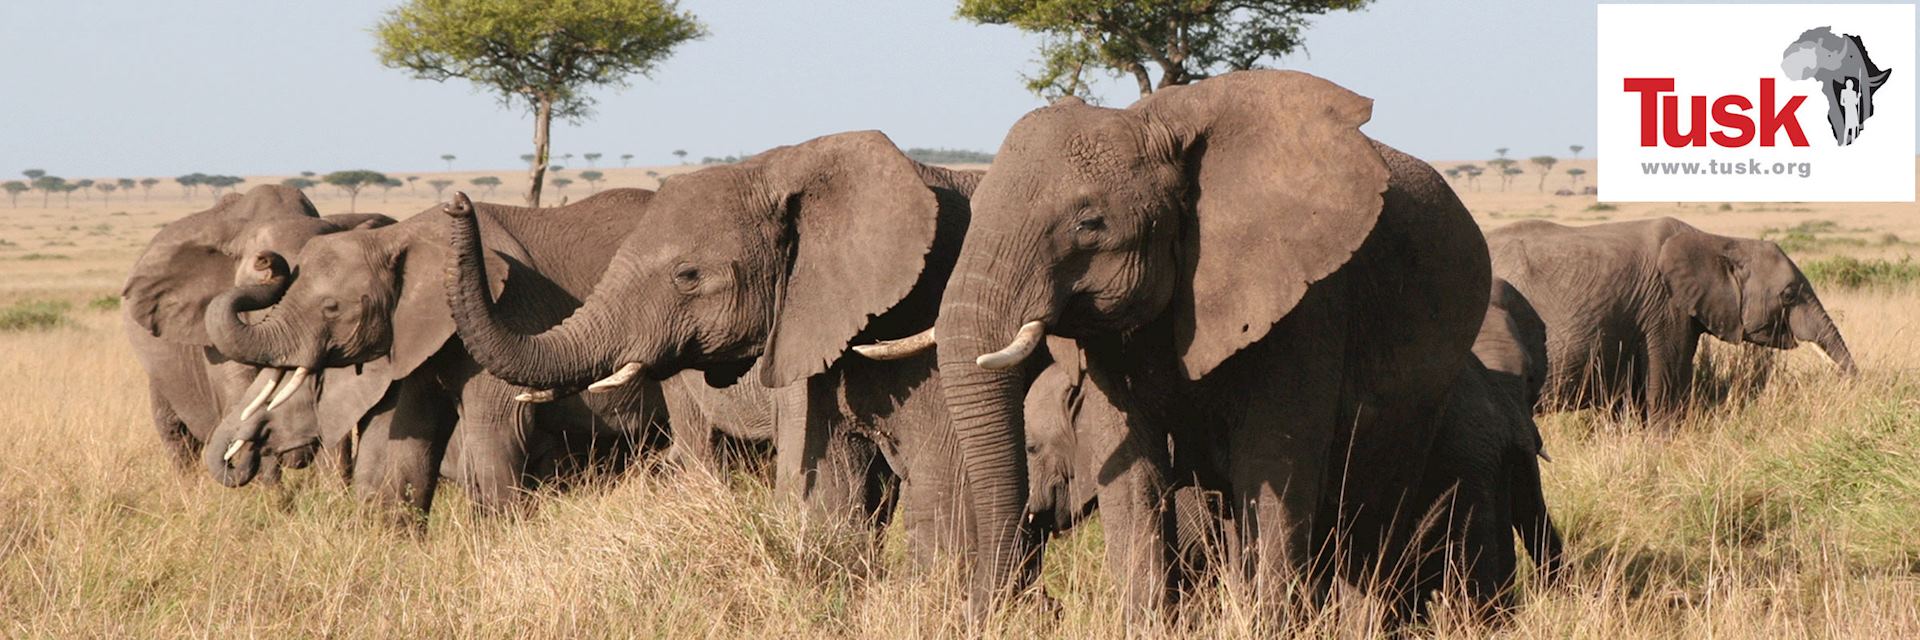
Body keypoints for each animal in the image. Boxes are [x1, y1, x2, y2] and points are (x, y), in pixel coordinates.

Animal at [120, 184, 393, 484]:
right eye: (257, 271)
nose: (266, 259)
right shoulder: (216, 348)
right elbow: (245, 401)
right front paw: (274, 495)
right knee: (175, 432)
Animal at [201, 187, 664, 522]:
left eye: (331, 307)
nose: (267, 261)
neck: (399, 237)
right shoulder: (415, 335)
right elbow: (403, 443)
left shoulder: (510, 309)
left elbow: (499, 429)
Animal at [921, 71, 1489, 618]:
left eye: (1089, 225)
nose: (995, 608)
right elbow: (1133, 472)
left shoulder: (1308, 305)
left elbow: (1274, 466)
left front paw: (1266, 625)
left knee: (1374, 508)